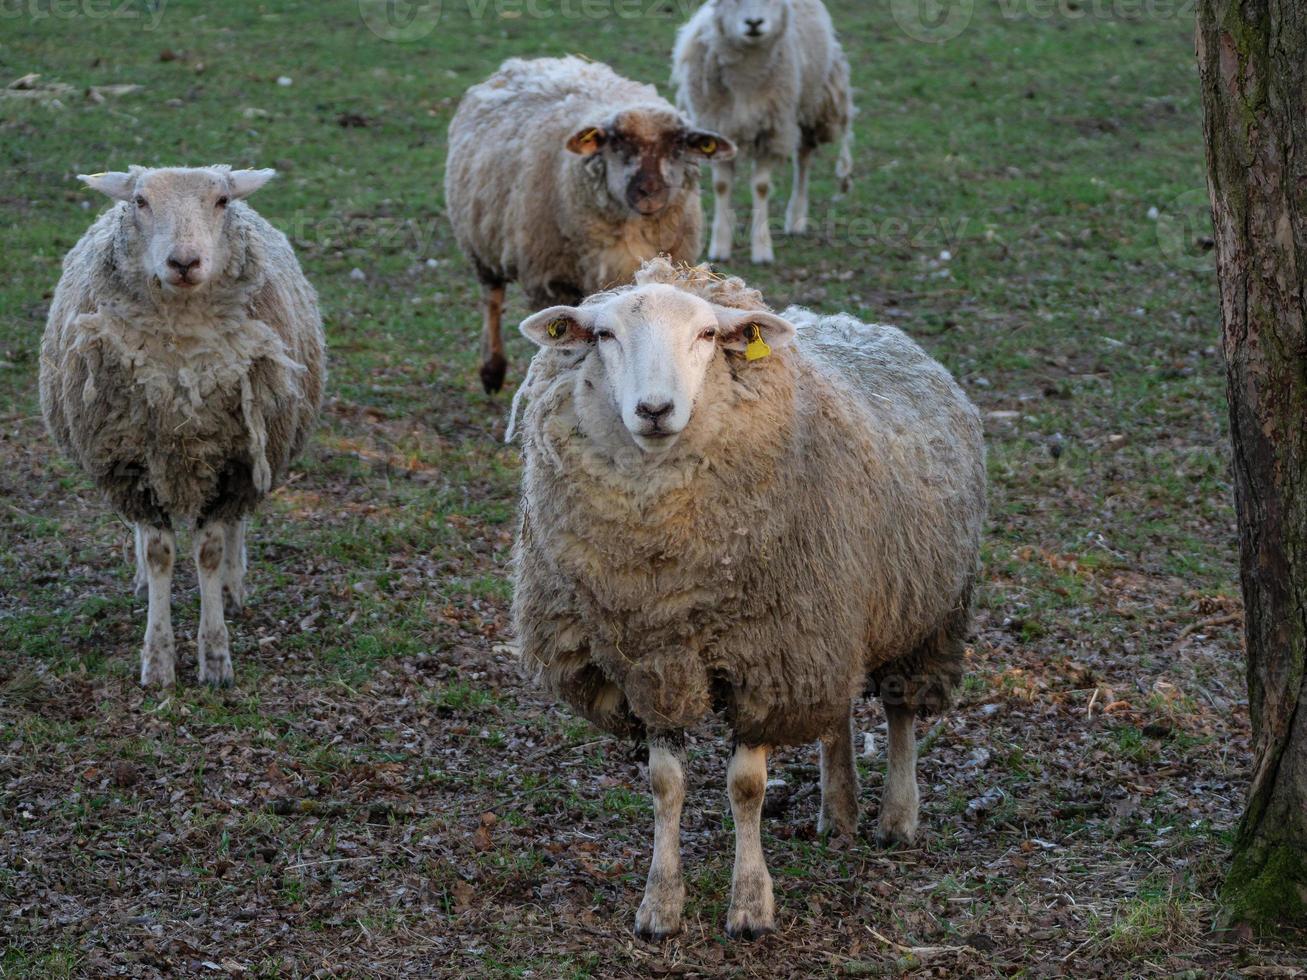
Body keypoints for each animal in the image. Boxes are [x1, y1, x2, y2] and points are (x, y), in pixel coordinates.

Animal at [42, 167, 326, 689]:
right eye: (139, 201)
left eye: (220, 201)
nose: (184, 262)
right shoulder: (131, 464)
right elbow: (159, 553)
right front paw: (158, 659)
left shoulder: (234, 462)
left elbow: (210, 550)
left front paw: (215, 655)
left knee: (236, 526)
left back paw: (234, 586)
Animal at [446, 55, 737, 394]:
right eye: (617, 142)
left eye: (679, 144)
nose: (649, 191)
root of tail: (531, 61)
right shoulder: (552, 283)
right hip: (480, 242)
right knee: (491, 299)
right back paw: (492, 370)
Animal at [674, 0, 857, 265]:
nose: (753, 23)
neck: (746, 78)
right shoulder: (717, 127)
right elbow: (721, 186)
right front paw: (720, 246)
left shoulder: (772, 133)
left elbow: (760, 187)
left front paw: (762, 249)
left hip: (808, 106)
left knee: (803, 159)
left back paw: (796, 217)